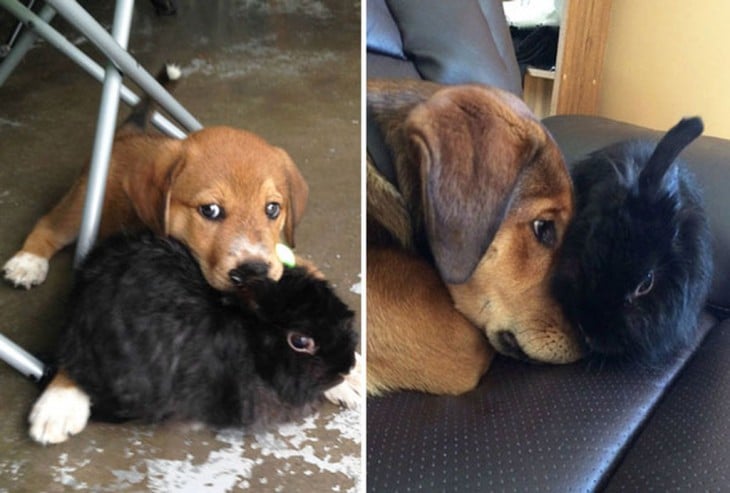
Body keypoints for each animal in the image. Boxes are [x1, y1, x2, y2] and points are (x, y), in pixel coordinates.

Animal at [1, 74, 306, 290]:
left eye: (272, 209)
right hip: (81, 201)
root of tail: (126, 135)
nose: (254, 272)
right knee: (49, 225)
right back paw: (27, 262)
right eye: (210, 210)